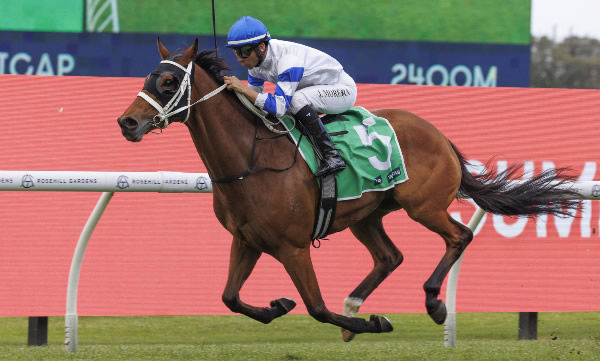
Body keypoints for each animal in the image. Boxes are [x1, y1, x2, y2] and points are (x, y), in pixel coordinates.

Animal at [115, 39, 580, 340]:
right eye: (149, 77)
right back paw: (356, 303)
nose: (127, 122)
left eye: (168, 83)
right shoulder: (247, 240)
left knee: (459, 236)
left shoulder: (292, 246)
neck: (250, 162)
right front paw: (278, 306)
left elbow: (318, 309)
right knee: (390, 256)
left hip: (423, 206)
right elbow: (230, 297)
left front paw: (373, 322)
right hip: (367, 214)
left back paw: (432, 303)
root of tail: (441, 136)